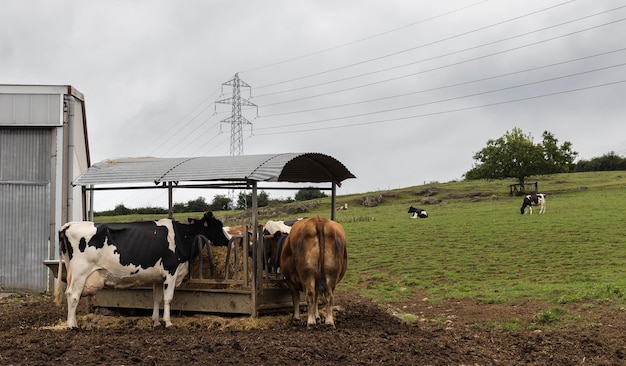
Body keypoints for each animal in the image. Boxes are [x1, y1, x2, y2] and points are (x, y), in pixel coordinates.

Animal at [54, 212, 229, 328]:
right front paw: (168, 322)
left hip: (73, 272)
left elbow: (157, 298)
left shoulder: (158, 277)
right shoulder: (171, 271)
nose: (228, 241)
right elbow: (168, 298)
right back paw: (72, 326)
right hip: (80, 271)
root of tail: (70, 224)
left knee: (71, 295)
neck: (183, 236)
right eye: (218, 226)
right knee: (73, 295)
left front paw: (156, 321)